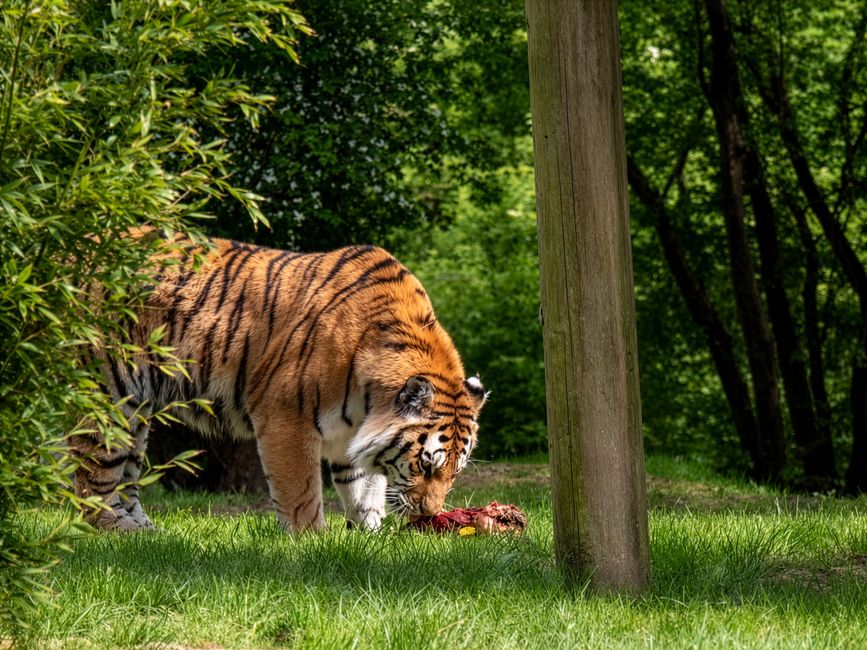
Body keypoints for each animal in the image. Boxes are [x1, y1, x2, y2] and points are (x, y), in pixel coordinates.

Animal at [70, 233, 487, 533]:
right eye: (426, 466)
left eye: (455, 471)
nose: (429, 513)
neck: (368, 399)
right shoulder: (286, 419)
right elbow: (301, 491)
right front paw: (313, 542)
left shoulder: (355, 434)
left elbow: (364, 485)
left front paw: (369, 534)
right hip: (109, 390)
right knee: (95, 474)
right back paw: (115, 528)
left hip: (138, 411)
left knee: (127, 470)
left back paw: (145, 531)